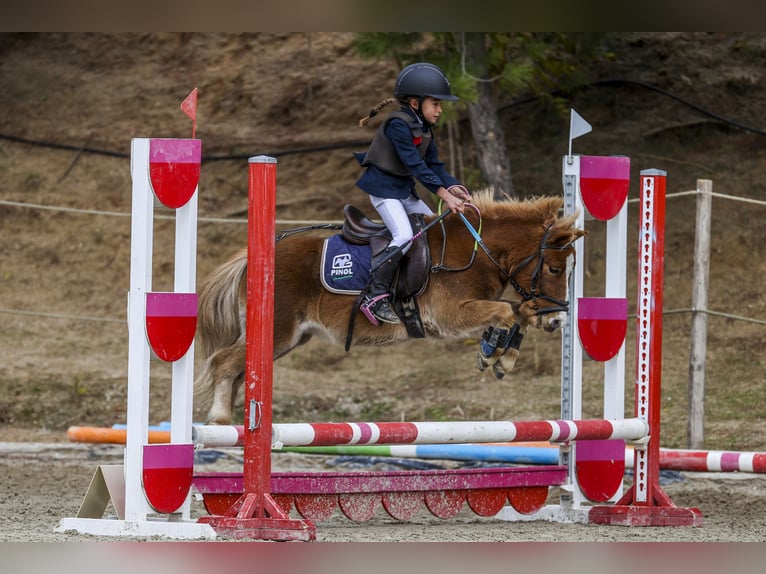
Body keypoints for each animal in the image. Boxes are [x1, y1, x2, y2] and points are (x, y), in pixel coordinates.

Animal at [195, 191, 584, 426]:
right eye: (553, 268)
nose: (558, 320)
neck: (477, 249)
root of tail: (253, 256)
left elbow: (518, 312)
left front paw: (500, 355)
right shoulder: (450, 314)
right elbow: (505, 311)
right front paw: (492, 353)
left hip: (288, 339)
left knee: (239, 369)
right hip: (277, 332)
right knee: (223, 362)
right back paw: (220, 419)